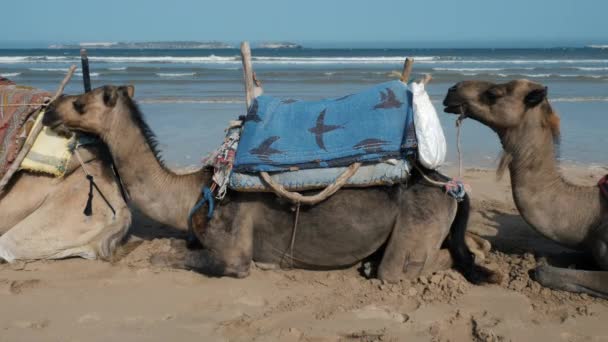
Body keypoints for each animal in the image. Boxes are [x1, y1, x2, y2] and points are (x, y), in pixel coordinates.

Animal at [42, 83, 498, 284]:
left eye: (80, 103)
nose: (48, 110)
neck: (192, 192)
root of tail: (453, 186)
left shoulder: (233, 253)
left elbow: (180, 257)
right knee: (470, 246)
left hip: (417, 225)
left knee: (410, 266)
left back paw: (375, 266)